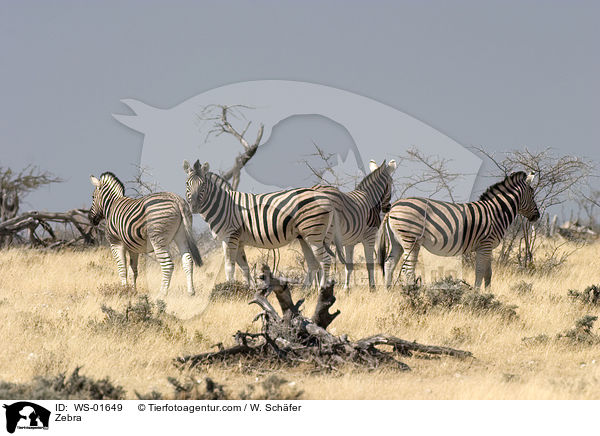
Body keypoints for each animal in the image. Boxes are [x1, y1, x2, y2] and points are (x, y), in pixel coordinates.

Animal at [180, 158, 344, 288]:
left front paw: (229, 289)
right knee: (313, 263)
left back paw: (321, 289)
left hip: (313, 234)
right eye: (187, 184)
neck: (224, 205)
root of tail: (325, 198)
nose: (194, 207)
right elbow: (244, 268)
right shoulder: (239, 241)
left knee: (325, 260)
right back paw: (306, 291)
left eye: (203, 185)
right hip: (306, 236)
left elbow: (229, 267)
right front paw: (250, 290)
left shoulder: (230, 237)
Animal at [310, 159, 398, 290]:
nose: (388, 207)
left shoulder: (349, 242)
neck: (370, 198)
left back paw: (314, 288)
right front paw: (372, 288)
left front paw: (346, 289)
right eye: (391, 183)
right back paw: (320, 287)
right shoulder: (370, 236)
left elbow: (349, 266)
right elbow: (369, 264)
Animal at [376, 171, 540, 290]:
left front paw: (488, 293)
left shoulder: (488, 247)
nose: (537, 216)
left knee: (389, 264)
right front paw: (477, 294)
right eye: (533, 195)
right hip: (411, 239)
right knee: (408, 269)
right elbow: (480, 271)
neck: (496, 212)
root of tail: (393, 208)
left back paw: (388, 291)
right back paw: (412, 292)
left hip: (397, 241)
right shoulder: (485, 245)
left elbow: (488, 273)